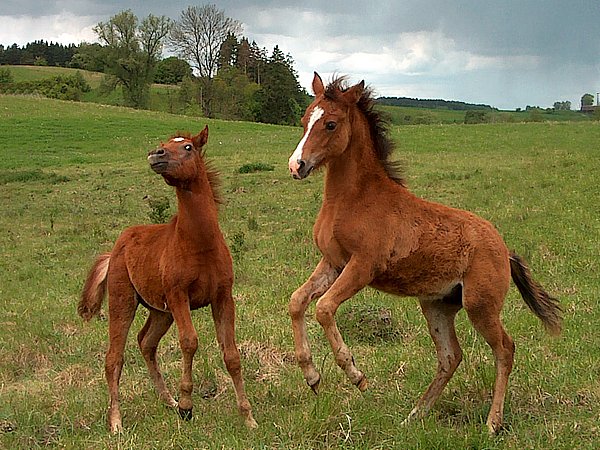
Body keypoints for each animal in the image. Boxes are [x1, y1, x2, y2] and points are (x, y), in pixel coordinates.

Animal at [78, 125, 256, 430]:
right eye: (164, 144)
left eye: (188, 147)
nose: (156, 154)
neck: (200, 243)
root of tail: (116, 248)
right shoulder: (178, 296)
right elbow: (190, 342)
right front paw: (187, 405)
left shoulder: (223, 297)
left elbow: (231, 354)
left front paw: (248, 417)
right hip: (124, 301)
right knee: (114, 357)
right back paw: (117, 422)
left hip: (160, 311)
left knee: (146, 342)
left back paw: (167, 400)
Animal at [286, 73, 564, 432]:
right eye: (305, 120)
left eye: (330, 124)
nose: (297, 165)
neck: (352, 200)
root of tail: (505, 250)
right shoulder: (333, 263)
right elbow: (297, 302)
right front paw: (312, 376)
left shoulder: (362, 266)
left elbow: (323, 308)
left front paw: (356, 375)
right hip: (436, 305)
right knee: (450, 356)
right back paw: (416, 414)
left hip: (480, 305)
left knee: (505, 348)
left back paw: (492, 422)